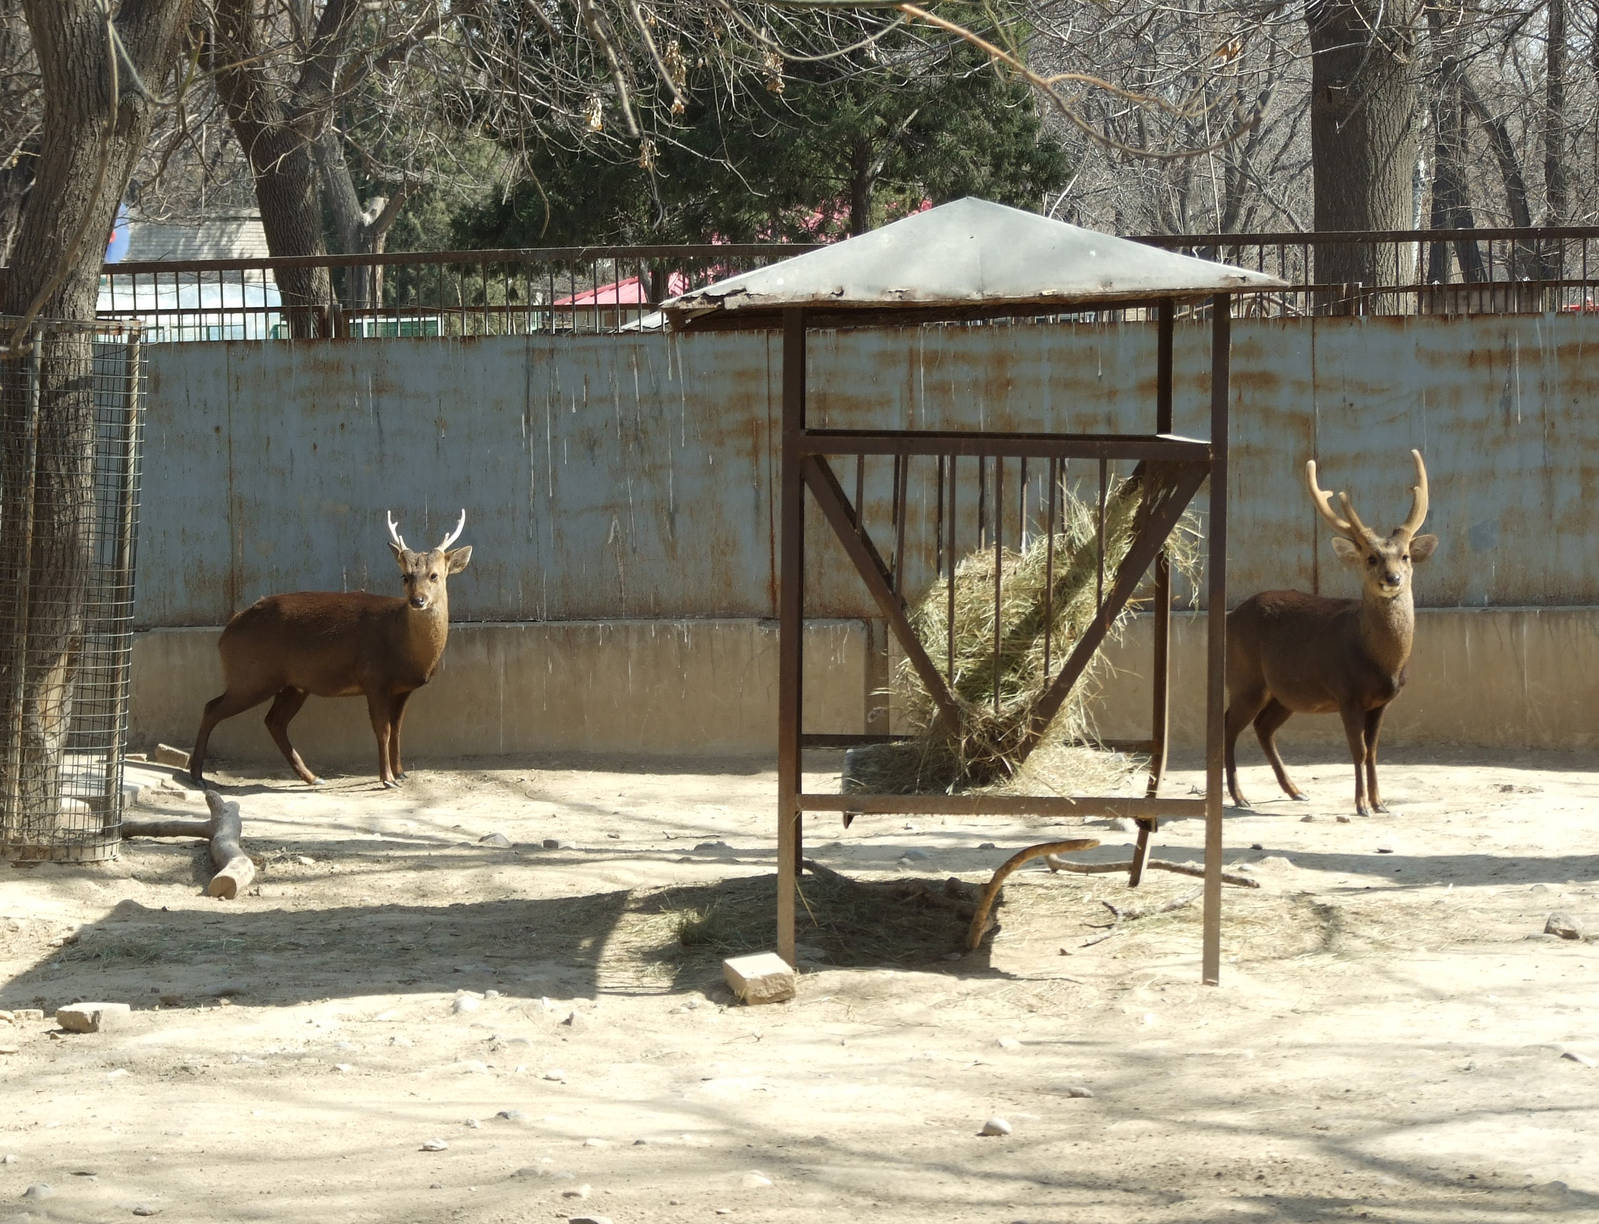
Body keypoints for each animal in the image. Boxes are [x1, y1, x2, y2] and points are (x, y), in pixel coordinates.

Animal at [189, 510, 472, 790]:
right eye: (405, 576)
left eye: (434, 575)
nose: (417, 601)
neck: (405, 649)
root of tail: (226, 634)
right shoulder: (374, 677)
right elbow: (383, 729)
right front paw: (387, 779)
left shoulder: (403, 688)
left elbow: (398, 729)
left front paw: (401, 773)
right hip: (252, 675)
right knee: (212, 708)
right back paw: (197, 776)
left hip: (292, 685)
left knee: (274, 721)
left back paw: (313, 776)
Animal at [1224, 450, 1437, 819]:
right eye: (1371, 558)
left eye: (1406, 556)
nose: (1393, 578)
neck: (1381, 664)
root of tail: (1229, 618)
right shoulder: (1346, 692)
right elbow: (1358, 750)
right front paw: (1362, 805)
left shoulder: (1382, 701)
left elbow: (1374, 751)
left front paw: (1381, 803)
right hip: (1245, 677)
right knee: (1227, 724)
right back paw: (1240, 797)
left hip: (1285, 692)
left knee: (1263, 726)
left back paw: (1296, 791)